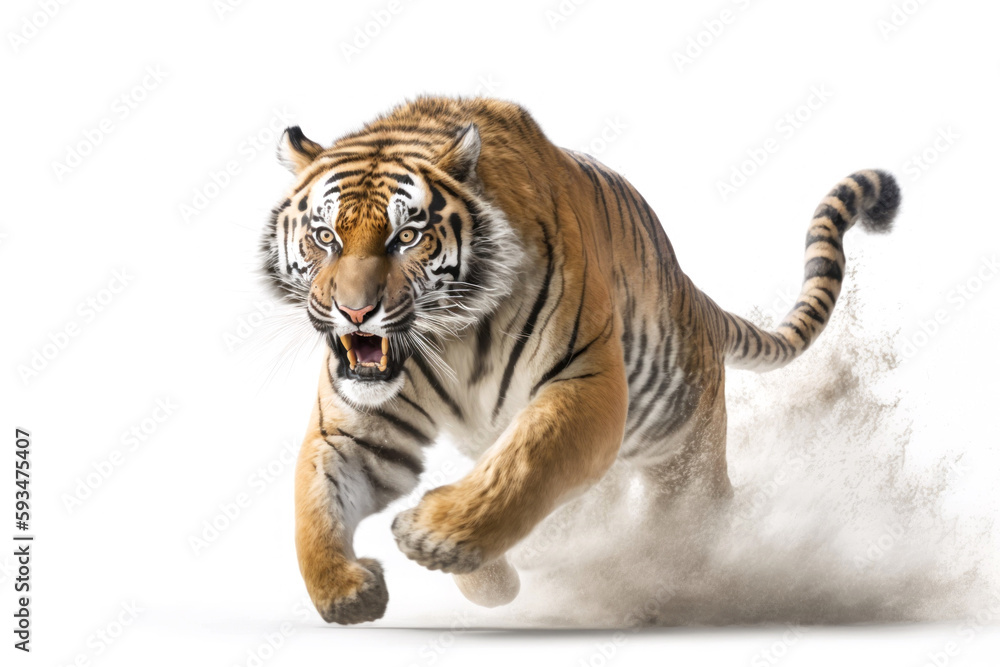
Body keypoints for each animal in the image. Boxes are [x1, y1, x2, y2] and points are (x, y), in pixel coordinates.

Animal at [260, 96, 901, 625]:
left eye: (406, 237)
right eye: (324, 237)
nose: (354, 311)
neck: (453, 338)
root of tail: (694, 294)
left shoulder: (585, 379)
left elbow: (527, 462)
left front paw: (436, 538)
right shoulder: (358, 427)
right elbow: (313, 499)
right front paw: (347, 589)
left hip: (682, 449)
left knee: (695, 516)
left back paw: (672, 580)